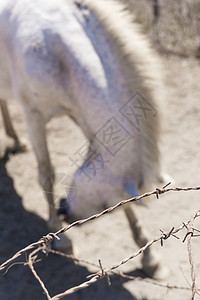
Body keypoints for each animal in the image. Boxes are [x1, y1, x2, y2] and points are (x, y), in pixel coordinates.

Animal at [0, 0, 169, 278]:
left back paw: (15, 140)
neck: (56, 51)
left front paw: (149, 257)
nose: (65, 213)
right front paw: (61, 240)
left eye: (106, 205)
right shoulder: (33, 116)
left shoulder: (80, 115)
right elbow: (46, 174)